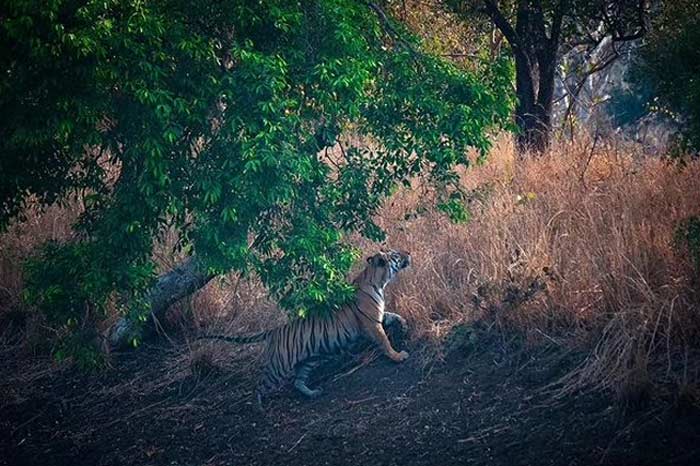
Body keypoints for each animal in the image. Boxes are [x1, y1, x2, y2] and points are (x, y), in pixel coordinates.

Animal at [198, 249, 410, 406]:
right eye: (396, 255)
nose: (407, 253)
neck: (378, 282)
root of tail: (273, 331)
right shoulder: (371, 323)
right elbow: (384, 341)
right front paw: (398, 356)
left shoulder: (377, 317)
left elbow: (393, 315)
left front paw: (404, 323)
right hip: (278, 366)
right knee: (260, 386)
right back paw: (259, 409)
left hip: (308, 360)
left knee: (297, 381)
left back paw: (312, 392)